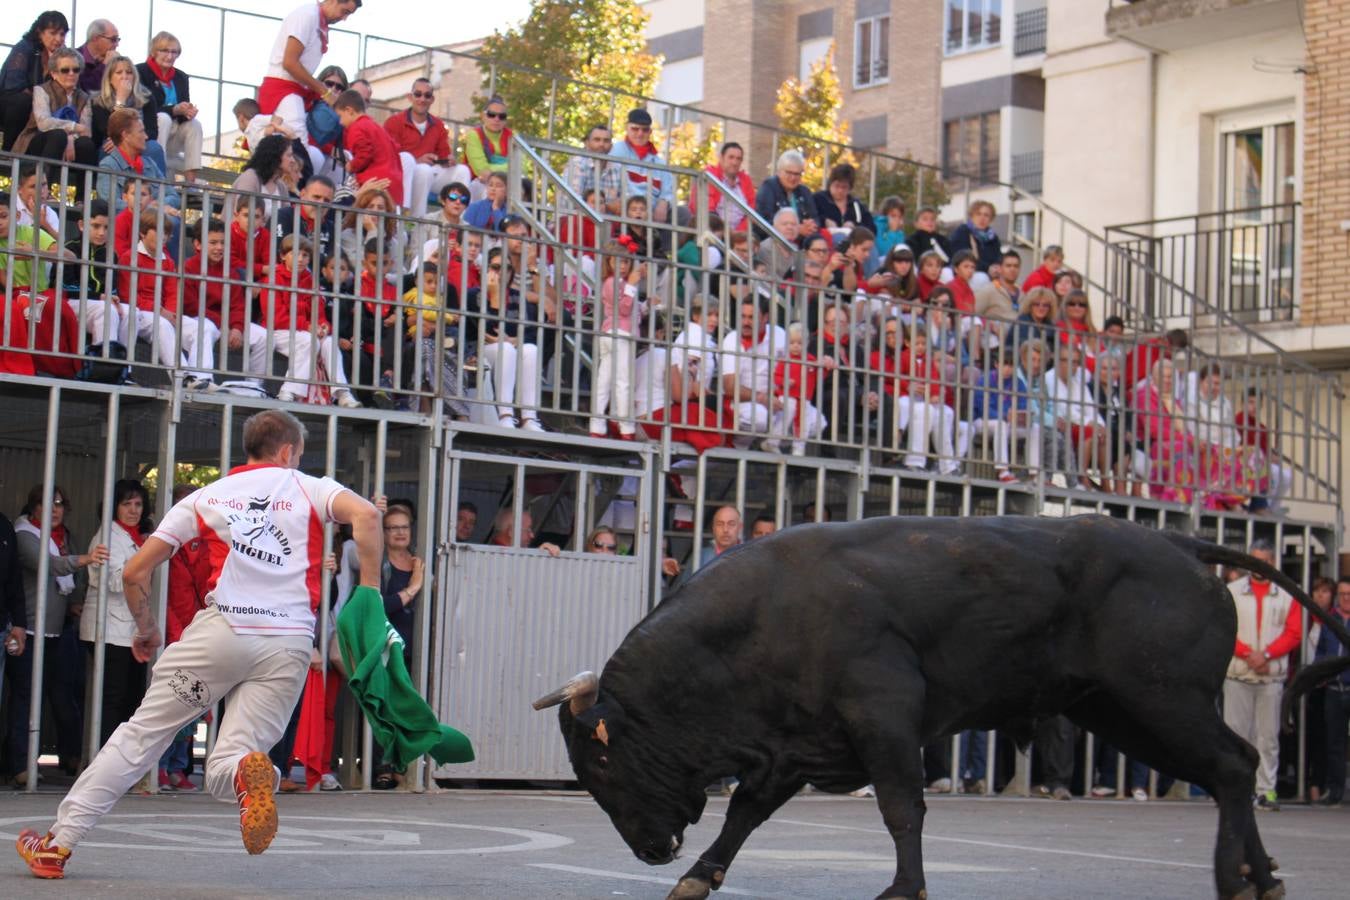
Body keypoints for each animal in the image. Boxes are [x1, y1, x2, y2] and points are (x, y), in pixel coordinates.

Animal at [529, 518, 1350, 900]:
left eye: (601, 763)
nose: (649, 852)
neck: (763, 618)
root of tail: (1182, 545)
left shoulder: (883, 718)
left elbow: (902, 807)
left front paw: (903, 886)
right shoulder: (794, 746)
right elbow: (744, 817)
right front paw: (695, 878)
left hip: (1158, 702)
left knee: (1233, 766)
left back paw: (1238, 878)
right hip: (1119, 712)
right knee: (1233, 767)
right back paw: (1262, 875)